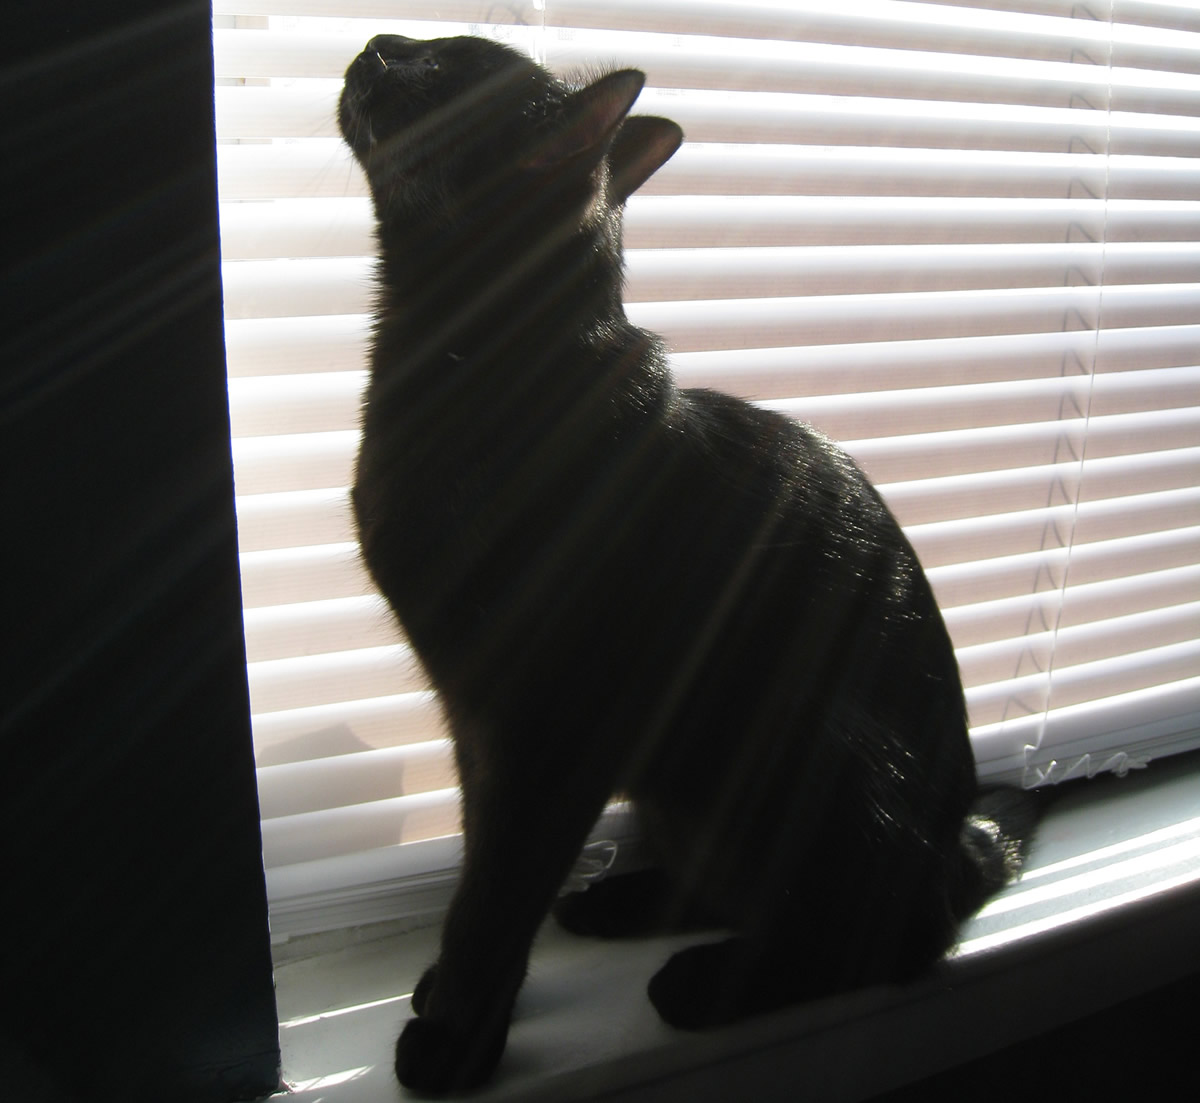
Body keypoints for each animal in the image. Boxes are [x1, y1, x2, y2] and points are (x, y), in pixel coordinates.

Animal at [340, 34, 1041, 1094]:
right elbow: (481, 872)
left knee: (895, 936)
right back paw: (621, 903)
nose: (375, 47)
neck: (449, 371)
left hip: (814, 745)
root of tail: (959, 842)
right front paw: (458, 1000)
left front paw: (457, 1039)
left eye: (449, 63)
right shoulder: (476, 725)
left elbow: (496, 893)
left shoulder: (546, 732)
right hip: (686, 789)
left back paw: (706, 982)